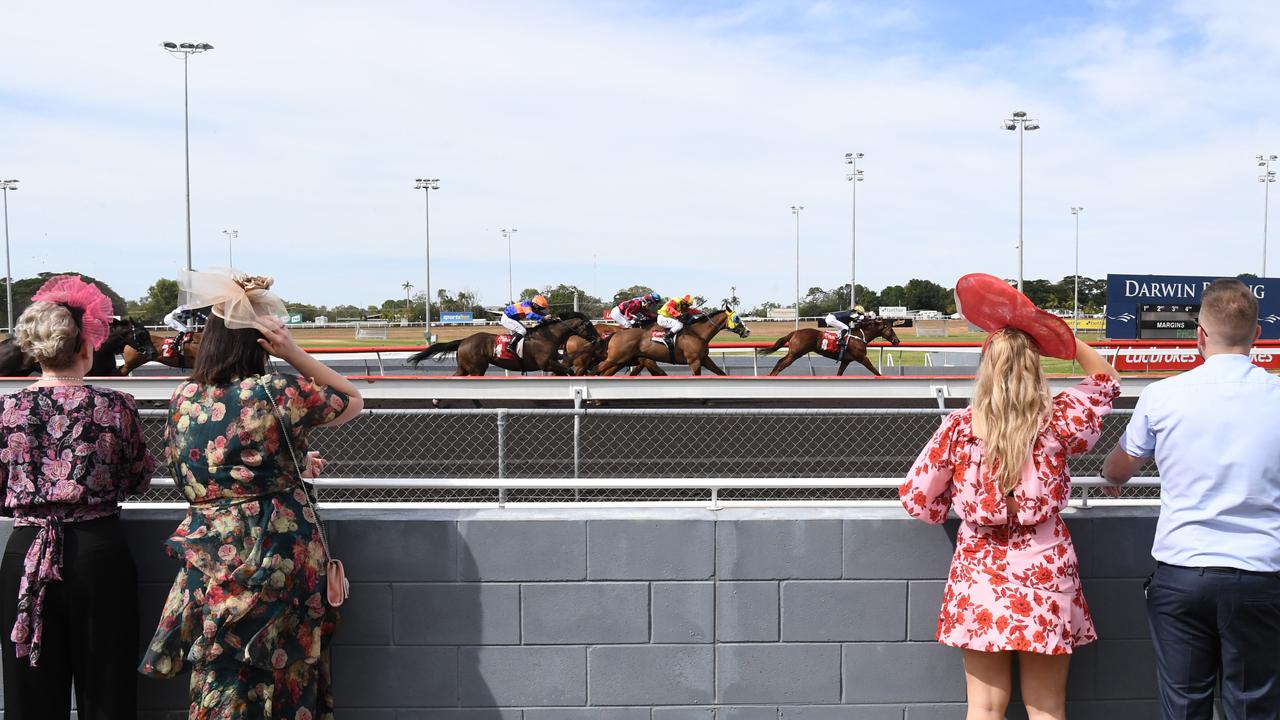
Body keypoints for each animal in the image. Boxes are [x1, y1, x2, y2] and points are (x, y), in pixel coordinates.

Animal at [409, 310, 599, 371]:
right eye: (589, 325)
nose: (597, 339)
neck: (546, 337)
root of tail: (464, 341)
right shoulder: (547, 364)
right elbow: (568, 371)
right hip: (476, 368)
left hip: (464, 368)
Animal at [586, 304, 752, 376]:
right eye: (737, 318)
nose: (747, 331)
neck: (698, 333)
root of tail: (616, 334)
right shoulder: (694, 361)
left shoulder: (704, 359)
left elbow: (721, 373)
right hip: (616, 359)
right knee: (596, 370)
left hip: (620, 360)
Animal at [752, 317, 906, 376]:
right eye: (891, 329)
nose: (897, 341)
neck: (860, 336)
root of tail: (795, 332)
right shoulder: (862, 358)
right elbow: (875, 371)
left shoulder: (846, 360)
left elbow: (839, 373)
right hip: (795, 354)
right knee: (781, 363)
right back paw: (772, 375)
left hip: (794, 353)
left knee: (780, 362)